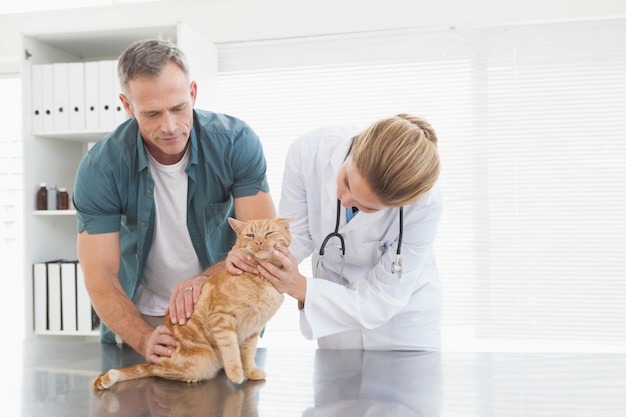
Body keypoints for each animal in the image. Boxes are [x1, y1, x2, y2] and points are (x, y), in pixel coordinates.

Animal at [93, 216, 290, 388]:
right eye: (250, 235)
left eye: (269, 233)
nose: (258, 242)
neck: (260, 278)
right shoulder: (221, 319)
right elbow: (231, 351)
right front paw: (236, 374)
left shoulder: (252, 329)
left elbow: (248, 354)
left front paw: (251, 372)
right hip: (205, 357)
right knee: (157, 371)